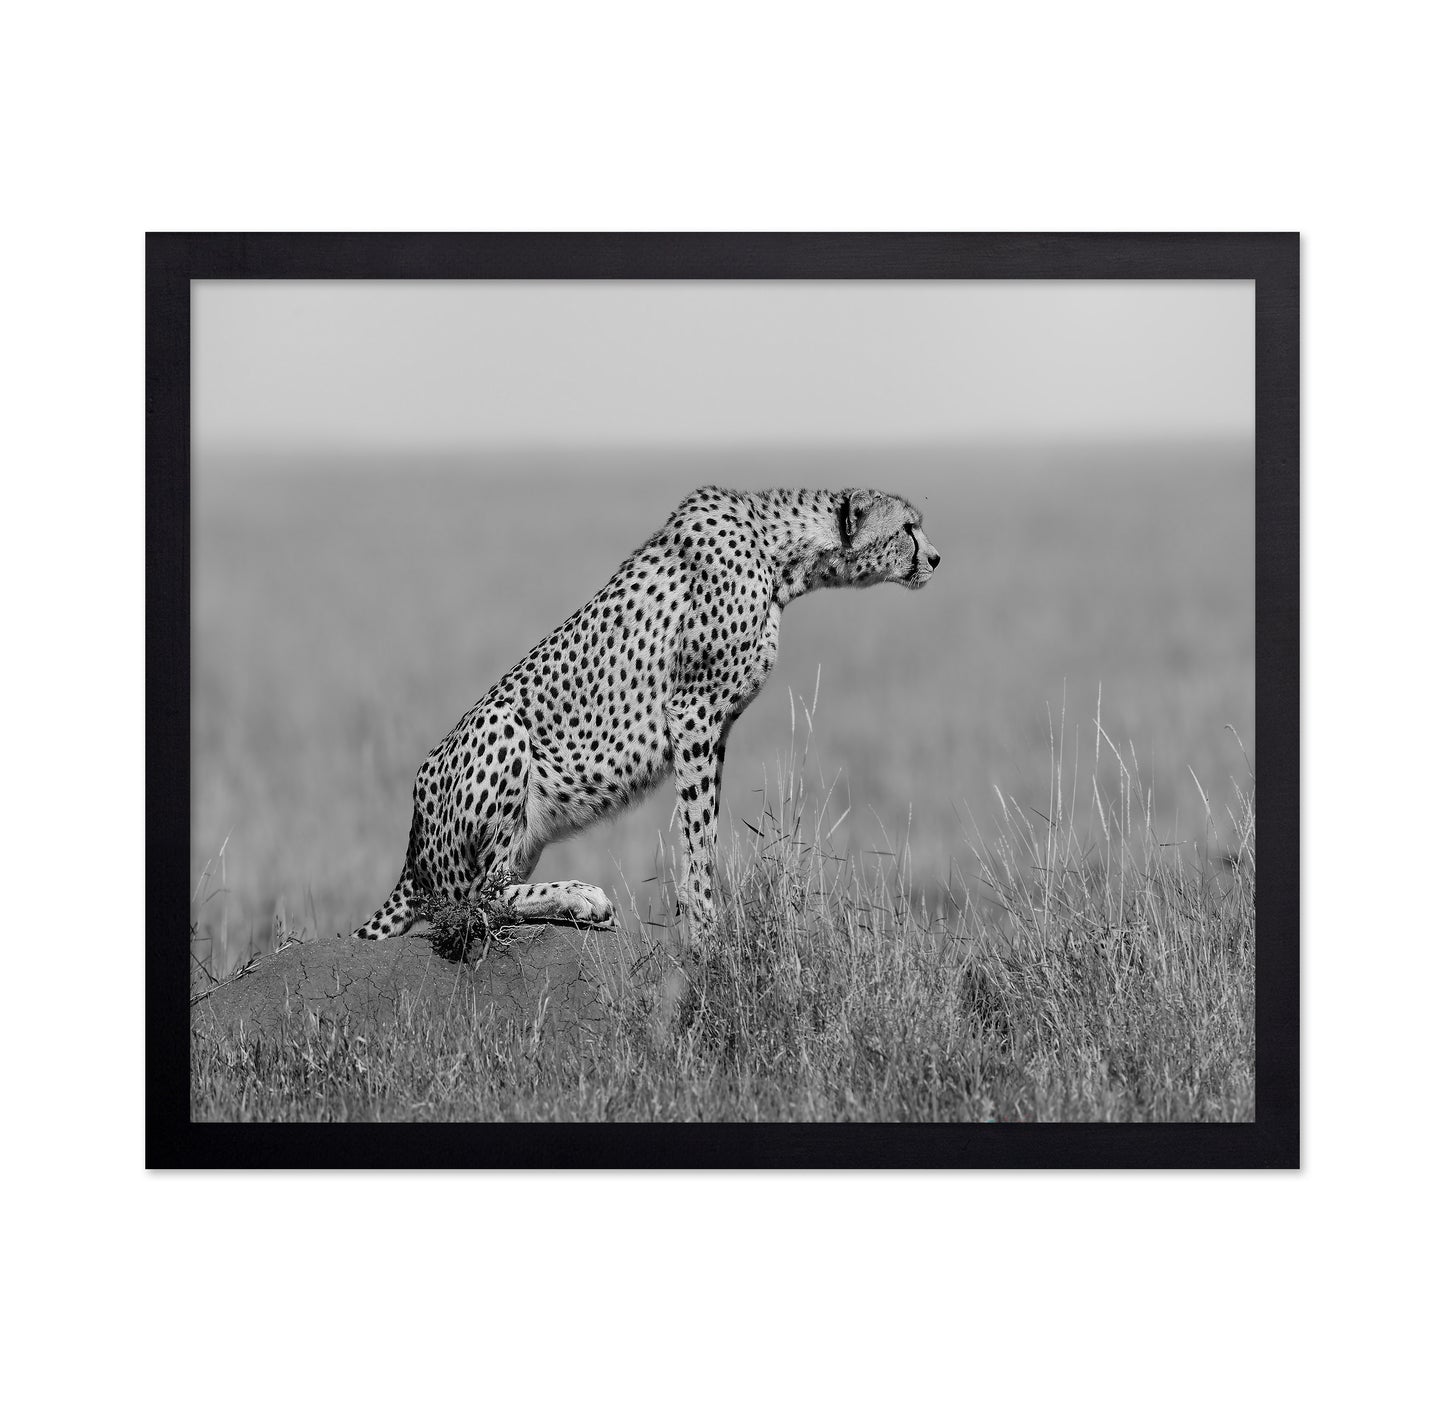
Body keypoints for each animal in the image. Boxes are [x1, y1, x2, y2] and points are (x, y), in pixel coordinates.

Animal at [352, 485, 940, 946]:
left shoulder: (715, 726)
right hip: (502, 725)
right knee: (471, 903)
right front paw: (705, 931)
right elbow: (698, 833)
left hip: (523, 835)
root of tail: (412, 844)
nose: (936, 558)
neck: (779, 553)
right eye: (908, 527)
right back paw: (582, 896)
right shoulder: (694, 711)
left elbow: (705, 826)